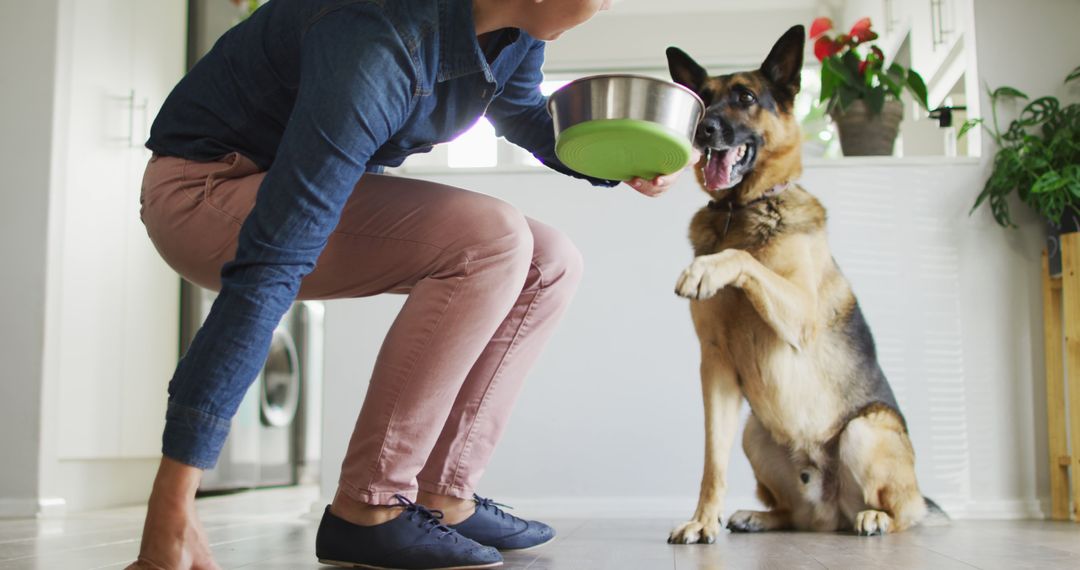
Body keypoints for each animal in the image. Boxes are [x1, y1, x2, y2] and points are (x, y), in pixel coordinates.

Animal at [665, 26, 946, 544]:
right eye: (703, 100)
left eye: (745, 97)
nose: (702, 130)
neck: (740, 211)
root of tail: (832, 509)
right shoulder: (714, 365)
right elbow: (712, 461)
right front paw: (703, 520)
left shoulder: (800, 313)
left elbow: (741, 260)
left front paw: (707, 269)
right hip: (754, 432)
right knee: (798, 516)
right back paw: (760, 516)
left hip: (864, 430)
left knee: (900, 513)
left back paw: (875, 517)